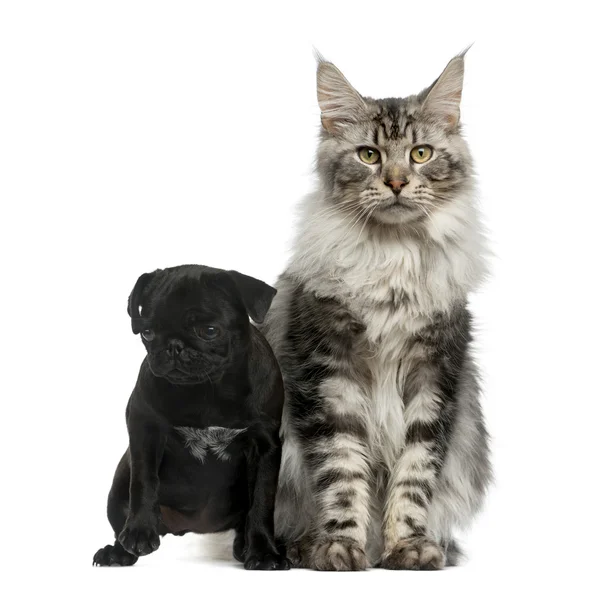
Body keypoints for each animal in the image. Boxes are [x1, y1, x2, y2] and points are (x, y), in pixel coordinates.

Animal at [92, 266, 290, 572]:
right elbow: (144, 482)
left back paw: (246, 547)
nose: (174, 346)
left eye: (209, 331)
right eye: (147, 332)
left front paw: (264, 552)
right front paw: (139, 532)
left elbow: (261, 500)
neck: (207, 390)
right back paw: (118, 551)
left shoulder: (264, 445)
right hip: (120, 481)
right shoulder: (144, 430)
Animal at [262, 53, 492, 572]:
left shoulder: (435, 378)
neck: (393, 258)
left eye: (421, 153)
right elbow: (343, 474)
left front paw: (408, 548)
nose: (397, 182)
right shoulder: (330, 377)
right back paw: (304, 549)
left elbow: (414, 476)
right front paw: (340, 548)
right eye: (369, 155)